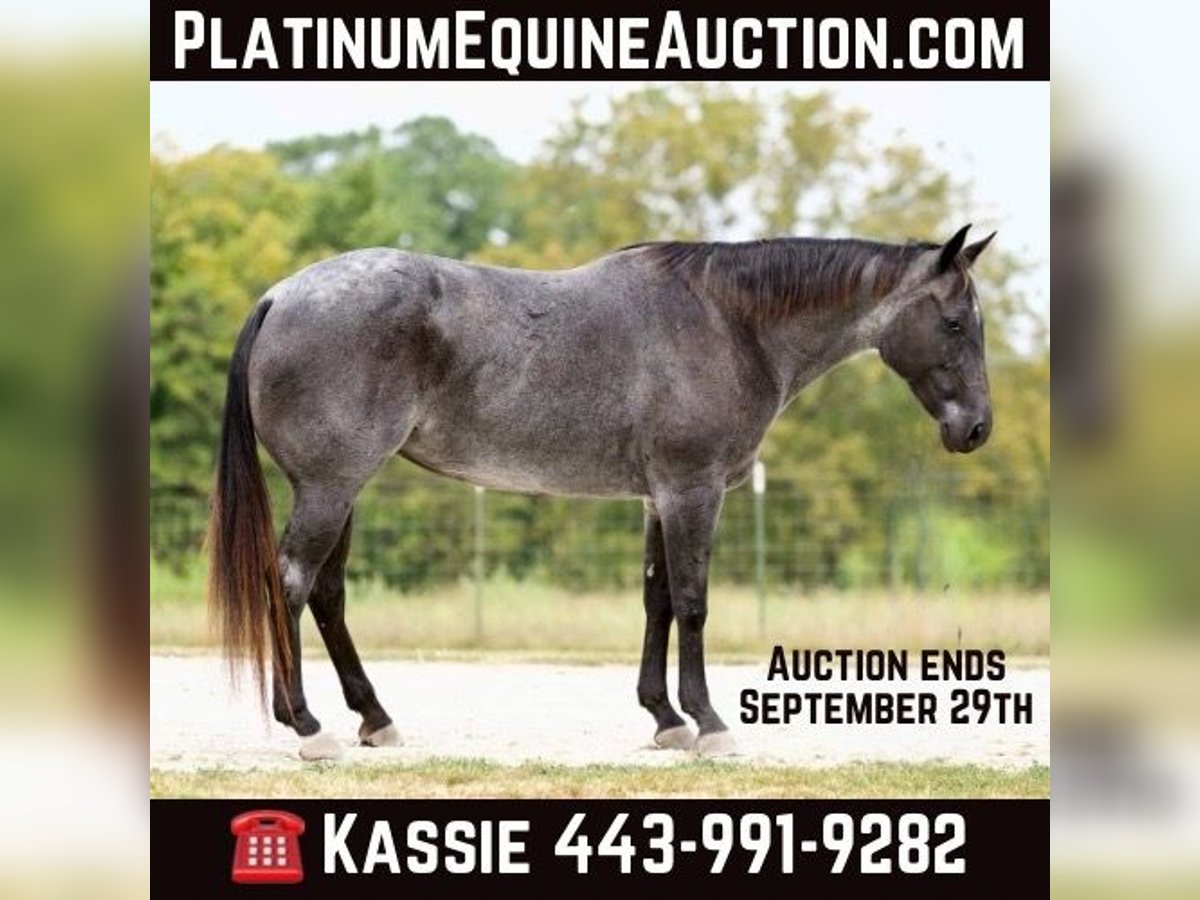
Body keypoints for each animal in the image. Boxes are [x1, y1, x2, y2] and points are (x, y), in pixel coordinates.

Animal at [208, 224, 995, 760]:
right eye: (955, 323)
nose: (977, 428)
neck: (729, 323)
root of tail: (280, 296)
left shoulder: (658, 498)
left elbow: (657, 601)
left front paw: (666, 720)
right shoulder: (692, 491)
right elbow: (693, 604)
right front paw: (710, 724)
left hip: (342, 489)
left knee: (327, 593)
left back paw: (374, 718)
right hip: (330, 487)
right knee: (292, 583)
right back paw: (307, 726)